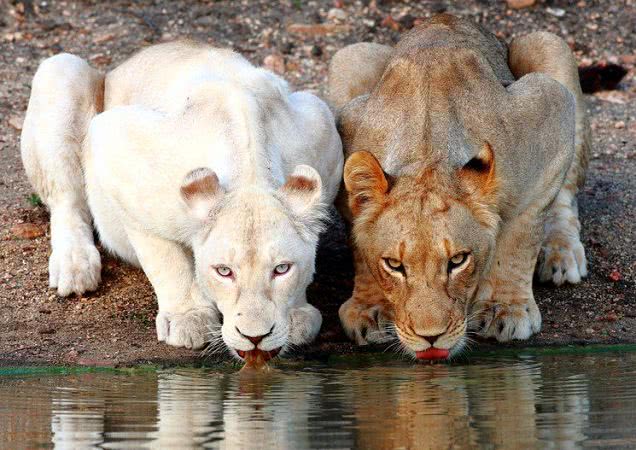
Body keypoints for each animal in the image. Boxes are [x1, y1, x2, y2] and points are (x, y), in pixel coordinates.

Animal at [22, 42, 342, 358]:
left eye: (282, 269)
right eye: (224, 271)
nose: (255, 337)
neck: (250, 170)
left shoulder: (322, 125)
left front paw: (297, 315)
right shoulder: (116, 146)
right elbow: (165, 257)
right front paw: (189, 318)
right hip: (62, 71)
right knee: (67, 199)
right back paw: (75, 267)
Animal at [328, 13, 592, 358]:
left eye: (457, 261)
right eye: (395, 265)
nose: (431, 337)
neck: (427, 150)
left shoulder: (550, 108)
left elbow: (521, 236)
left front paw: (504, 307)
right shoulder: (347, 130)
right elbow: (360, 243)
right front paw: (370, 308)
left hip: (547, 44)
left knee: (565, 197)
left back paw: (561, 254)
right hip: (351, 56)